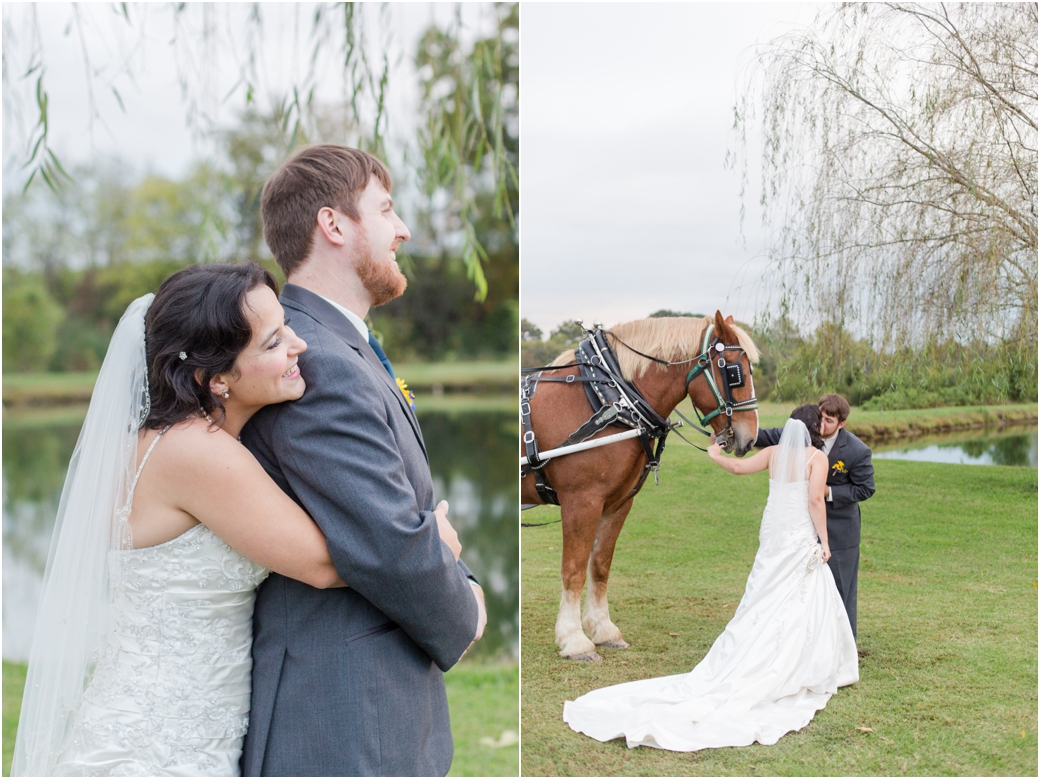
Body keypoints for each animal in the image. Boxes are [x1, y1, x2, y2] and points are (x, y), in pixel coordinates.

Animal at [517, 307, 757, 657]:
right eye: (735, 371)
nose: (750, 437)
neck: (609, 399)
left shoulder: (617, 503)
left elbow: (599, 565)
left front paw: (603, 630)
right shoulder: (581, 500)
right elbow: (573, 568)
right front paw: (574, 640)